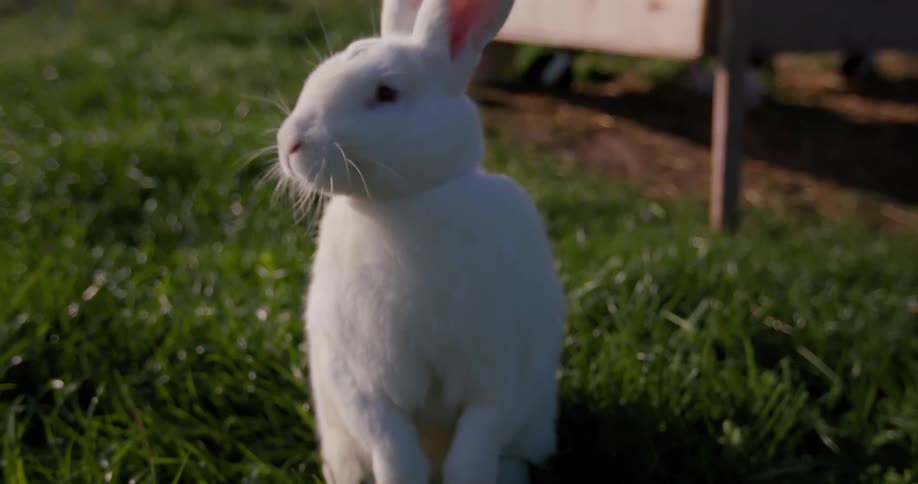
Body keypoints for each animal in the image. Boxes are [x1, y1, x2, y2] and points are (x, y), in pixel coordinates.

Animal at [275, 0, 565, 483]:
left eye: (386, 93)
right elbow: (393, 449)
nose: (289, 143)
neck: (402, 205)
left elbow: (474, 451)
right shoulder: (361, 382)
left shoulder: (503, 377)